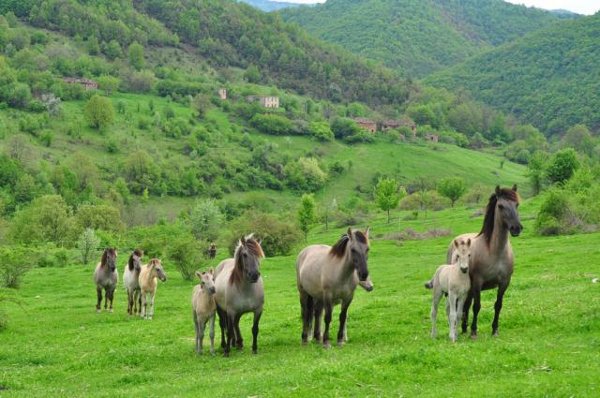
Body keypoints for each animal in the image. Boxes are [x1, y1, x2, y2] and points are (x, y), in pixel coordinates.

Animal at [448, 185, 524, 338]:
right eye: (501, 206)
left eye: (517, 204)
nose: (516, 228)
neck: (495, 251)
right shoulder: (478, 282)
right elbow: (477, 306)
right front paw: (474, 331)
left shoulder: (504, 283)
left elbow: (498, 305)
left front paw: (494, 330)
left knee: (466, 305)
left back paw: (464, 327)